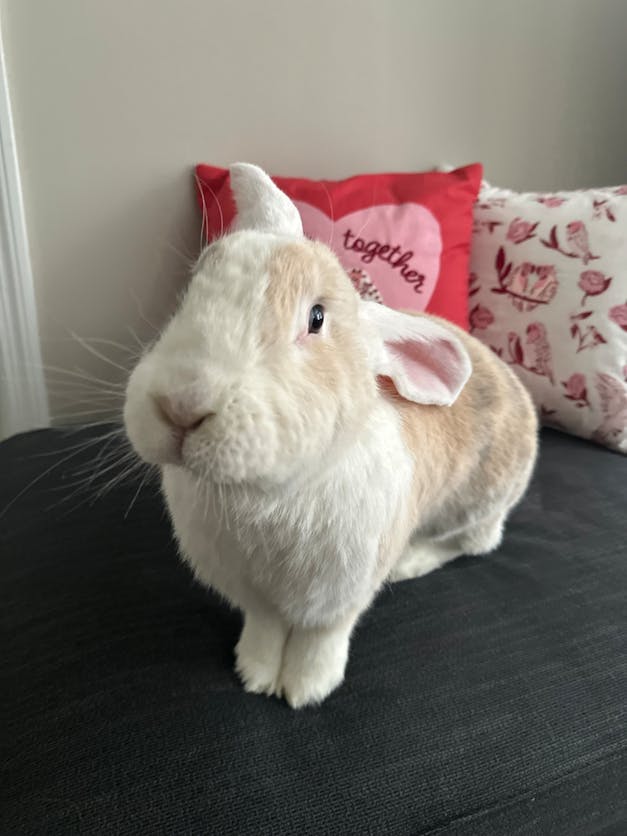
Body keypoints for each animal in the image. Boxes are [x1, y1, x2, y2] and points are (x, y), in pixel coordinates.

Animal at [124, 163, 538, 708]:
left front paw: (306, 689)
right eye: (193, 289)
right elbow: (265, 628)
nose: (180, 407)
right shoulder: (254, 594)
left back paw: (411, 561)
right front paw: (255, 674)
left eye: (316, 318)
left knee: (474, 544)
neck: (264, 495)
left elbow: (321, 638)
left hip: (478, 503)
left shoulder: (340, 592)